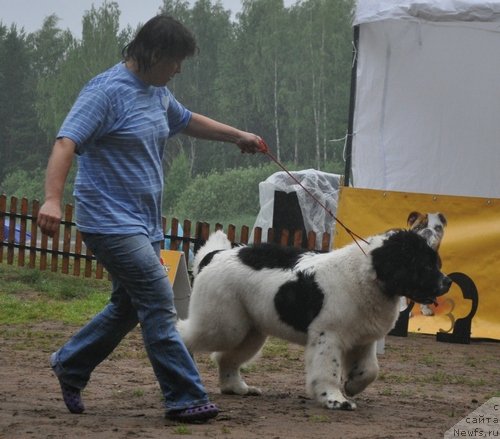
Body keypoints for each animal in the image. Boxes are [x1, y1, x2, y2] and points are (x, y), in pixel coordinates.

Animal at [178, 229, 452, 410]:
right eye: (425, 265)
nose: (447, 282)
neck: (368, 275)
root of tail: (216, 254)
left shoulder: (363, 340)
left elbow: (370, 370)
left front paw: (352, 386)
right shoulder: (328, 337)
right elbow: (328, 370)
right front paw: (334, 399)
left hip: (249, 331)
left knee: (226, 358)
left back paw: (236, 388)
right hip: (222, 325)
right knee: (185, 334)